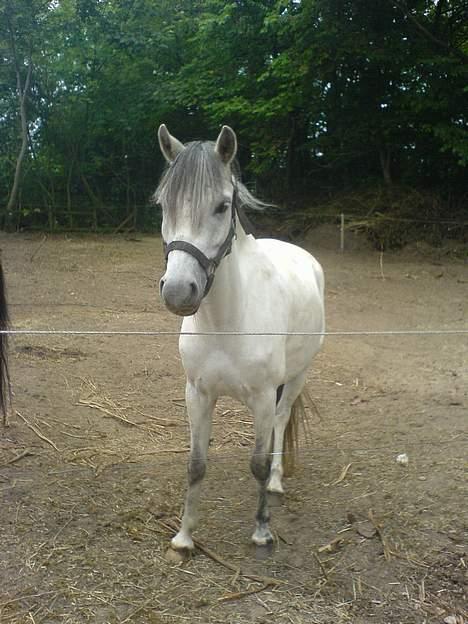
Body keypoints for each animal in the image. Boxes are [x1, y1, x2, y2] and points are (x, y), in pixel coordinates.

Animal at [155, 125, 324, 552]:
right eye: (164, 205)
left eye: (222, 206)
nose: (178, 292)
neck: (225, 323)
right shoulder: (197, 393)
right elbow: (196, 464)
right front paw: (184, 535)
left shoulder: (263, 397)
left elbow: (258, 463)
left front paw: (262, 529)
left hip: (297, 377)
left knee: (282, 420)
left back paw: (278, 481)